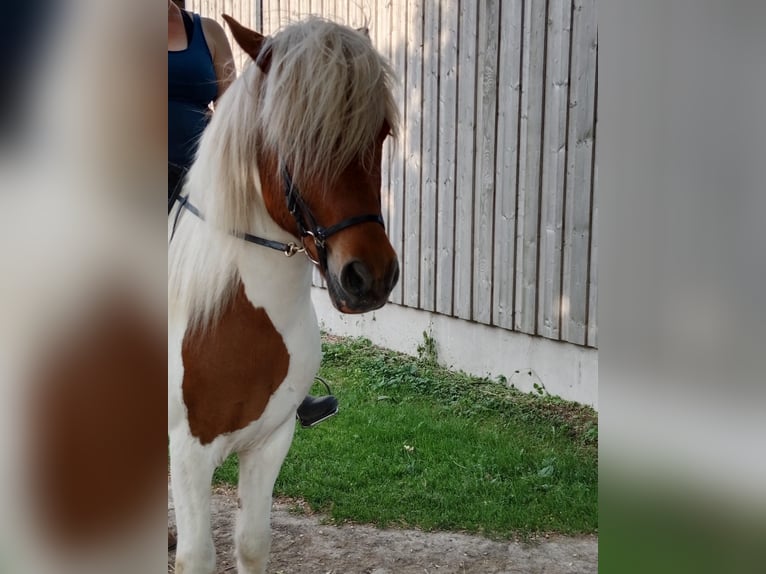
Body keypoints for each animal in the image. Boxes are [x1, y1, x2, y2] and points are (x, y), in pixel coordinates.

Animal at [169, 13, 402, 574]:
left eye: (381, 132)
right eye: (296, 136)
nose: (370, 277)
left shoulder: (271, 441)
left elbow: (253, 543)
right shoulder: (187, 455)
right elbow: (196, 555)